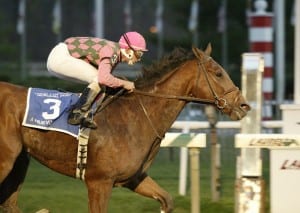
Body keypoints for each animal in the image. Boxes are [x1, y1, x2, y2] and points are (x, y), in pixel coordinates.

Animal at [0, 44, 248, 211]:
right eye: (218, 73)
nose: (244, 105)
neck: (136, 116)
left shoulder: (134, 178)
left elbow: (167, 200)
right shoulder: (99, 182)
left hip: (19, 162)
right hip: (6, 160)